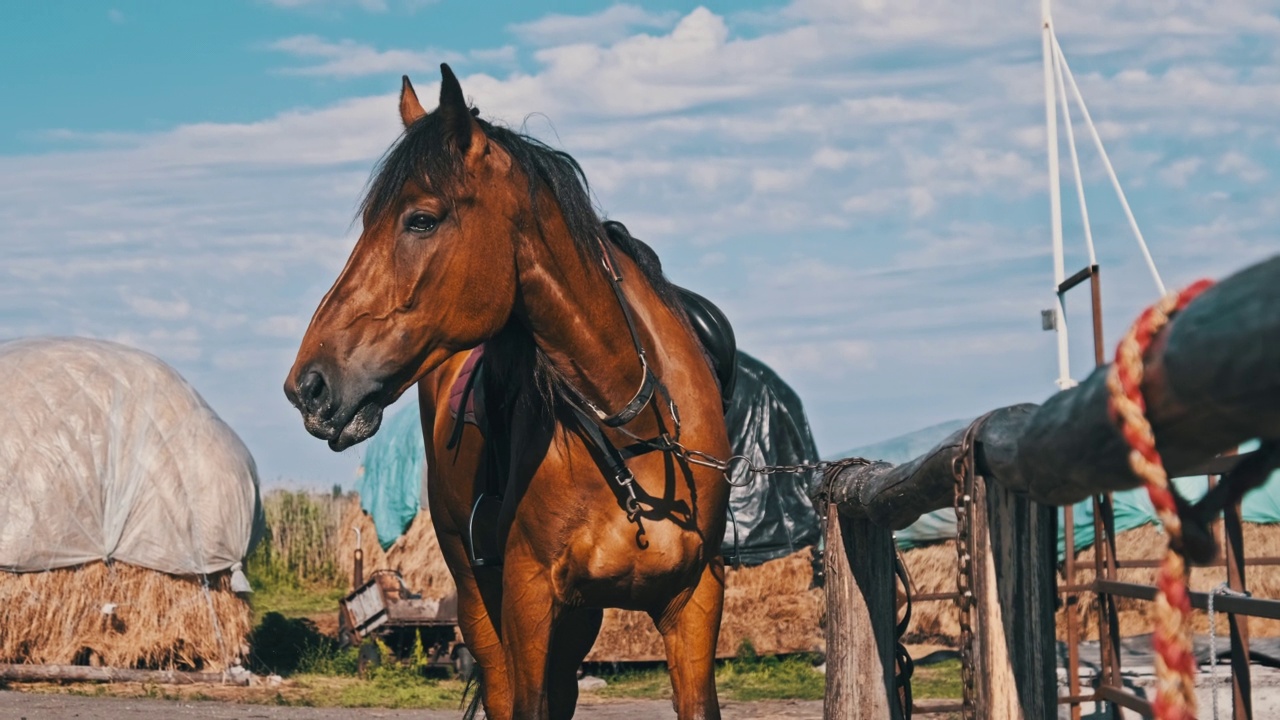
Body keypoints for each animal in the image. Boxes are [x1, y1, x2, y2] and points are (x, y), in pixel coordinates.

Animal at [286, 64, 737, 712]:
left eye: (421, 219)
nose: (310, 386)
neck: (633, 430)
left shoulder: (695, 599)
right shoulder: (527, 599)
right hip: (479, 598)